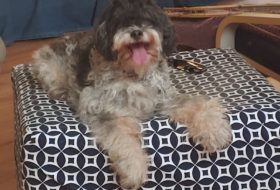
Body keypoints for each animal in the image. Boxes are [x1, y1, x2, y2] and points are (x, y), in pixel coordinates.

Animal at [32, 0, 232, 189]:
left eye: (148, 19)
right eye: (120, 21)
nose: (136, 32)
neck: (135, 74)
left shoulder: (165, 100)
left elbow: (196, 103)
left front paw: (214, 130)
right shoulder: (106, 113)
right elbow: (123, 139)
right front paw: (133, 169)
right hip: (50, 71)